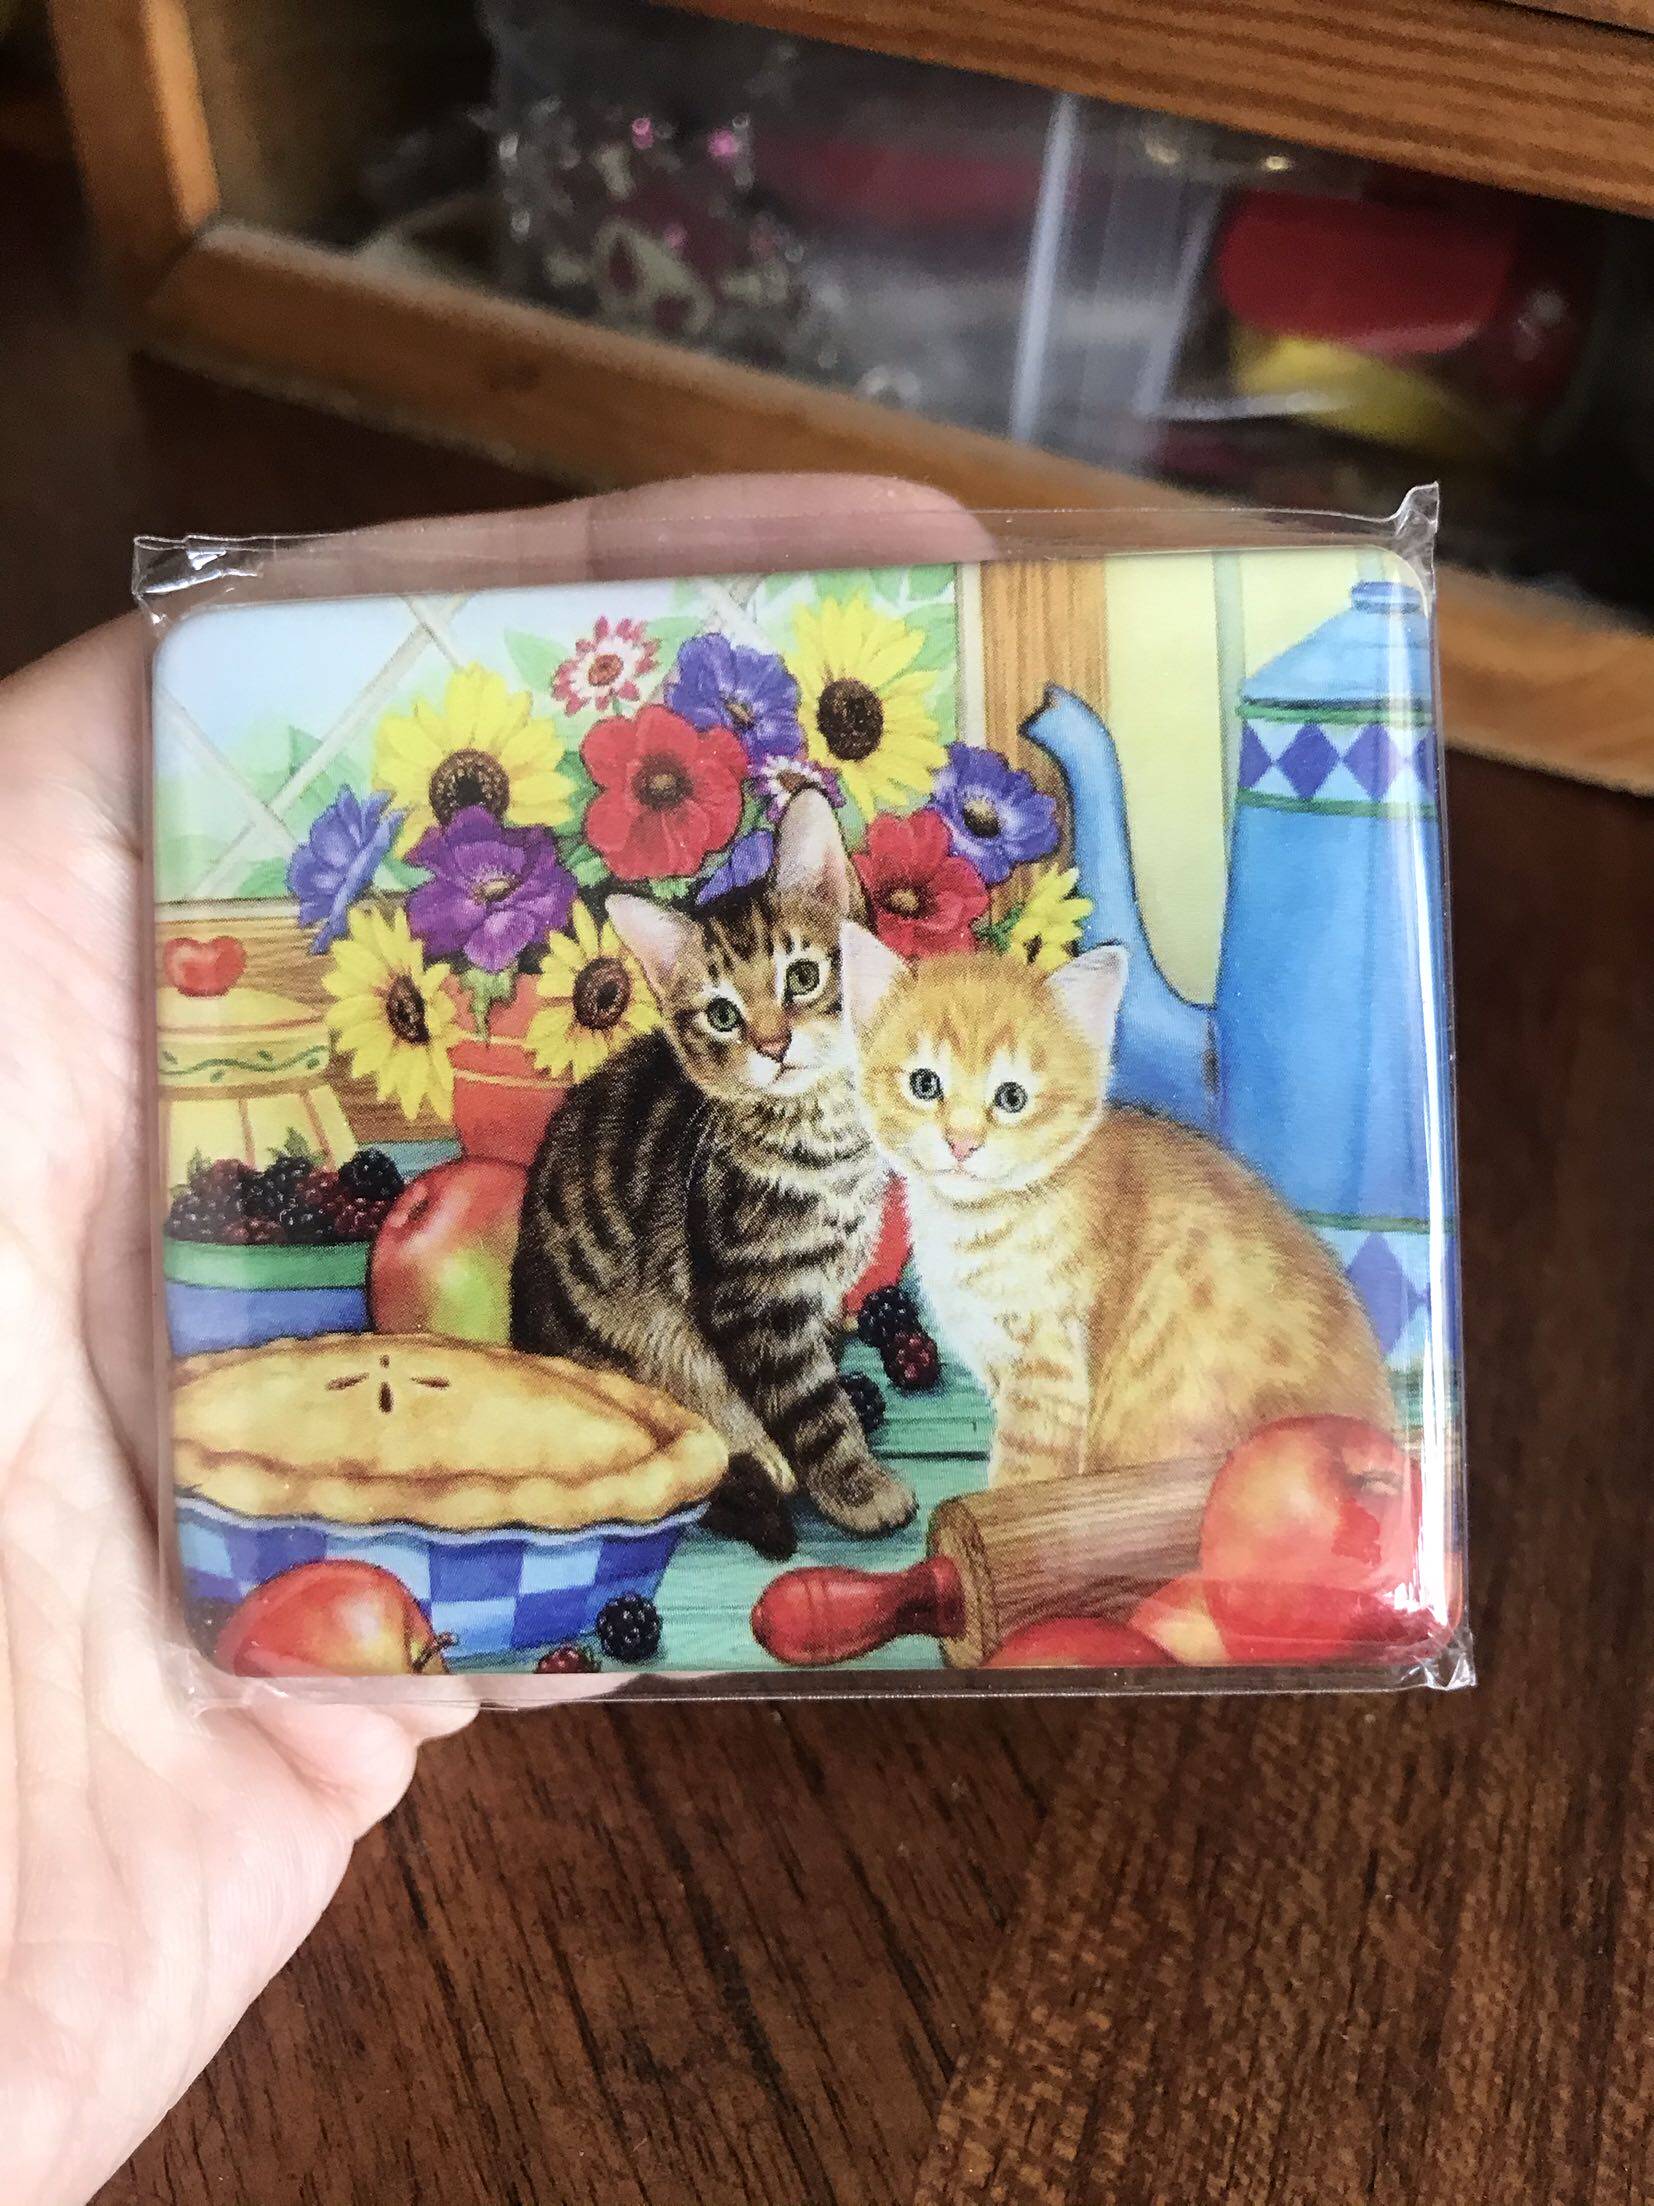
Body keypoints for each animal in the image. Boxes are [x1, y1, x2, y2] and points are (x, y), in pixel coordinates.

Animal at [510, 791, 916, 1547]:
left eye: (804, 977)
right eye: (723, 1015)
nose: (774, 1044)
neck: (823, 1139)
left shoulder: (815, 1292)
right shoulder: (749, 1299)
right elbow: (812, 1410)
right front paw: (858, 1488)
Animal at [839, 927, 1394, 1487]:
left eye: (1012, 1097)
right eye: (924, 1084)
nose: (962, 1143)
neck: (982, 1222)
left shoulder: (1049, 1378)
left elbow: (1023, 1478)